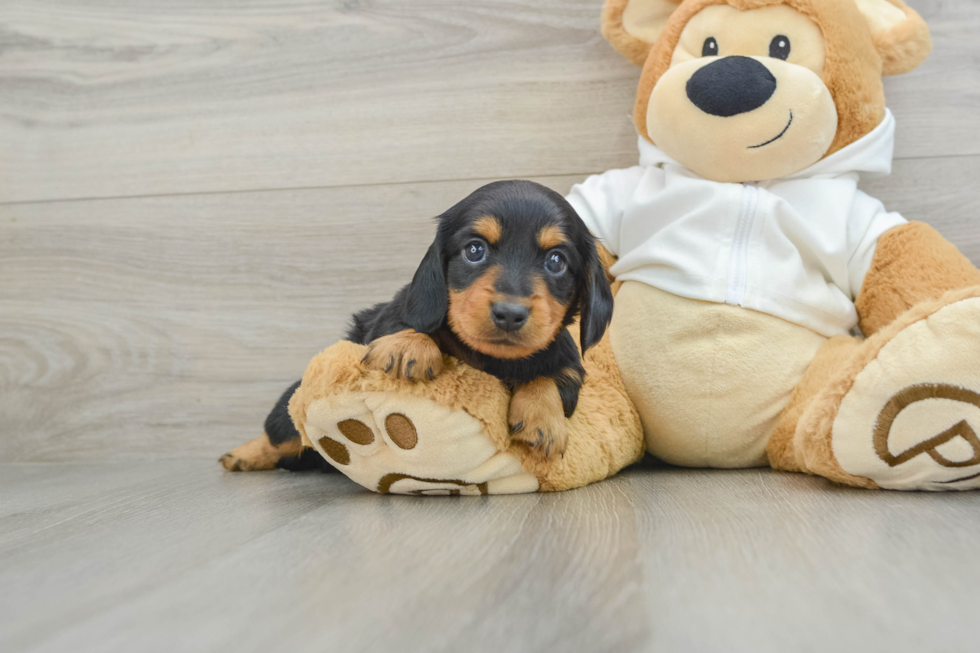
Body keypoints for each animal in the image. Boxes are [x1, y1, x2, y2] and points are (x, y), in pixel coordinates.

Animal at [222, 181, 612, 472]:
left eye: (556, 261)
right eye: (474, 250)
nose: (509, 313)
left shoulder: (570, 365)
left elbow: (550, 377)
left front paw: (542, 419)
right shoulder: (385, 322)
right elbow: (409, 326)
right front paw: (409, 345)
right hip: (287, 414)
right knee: (280, 436)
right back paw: (243, 455)